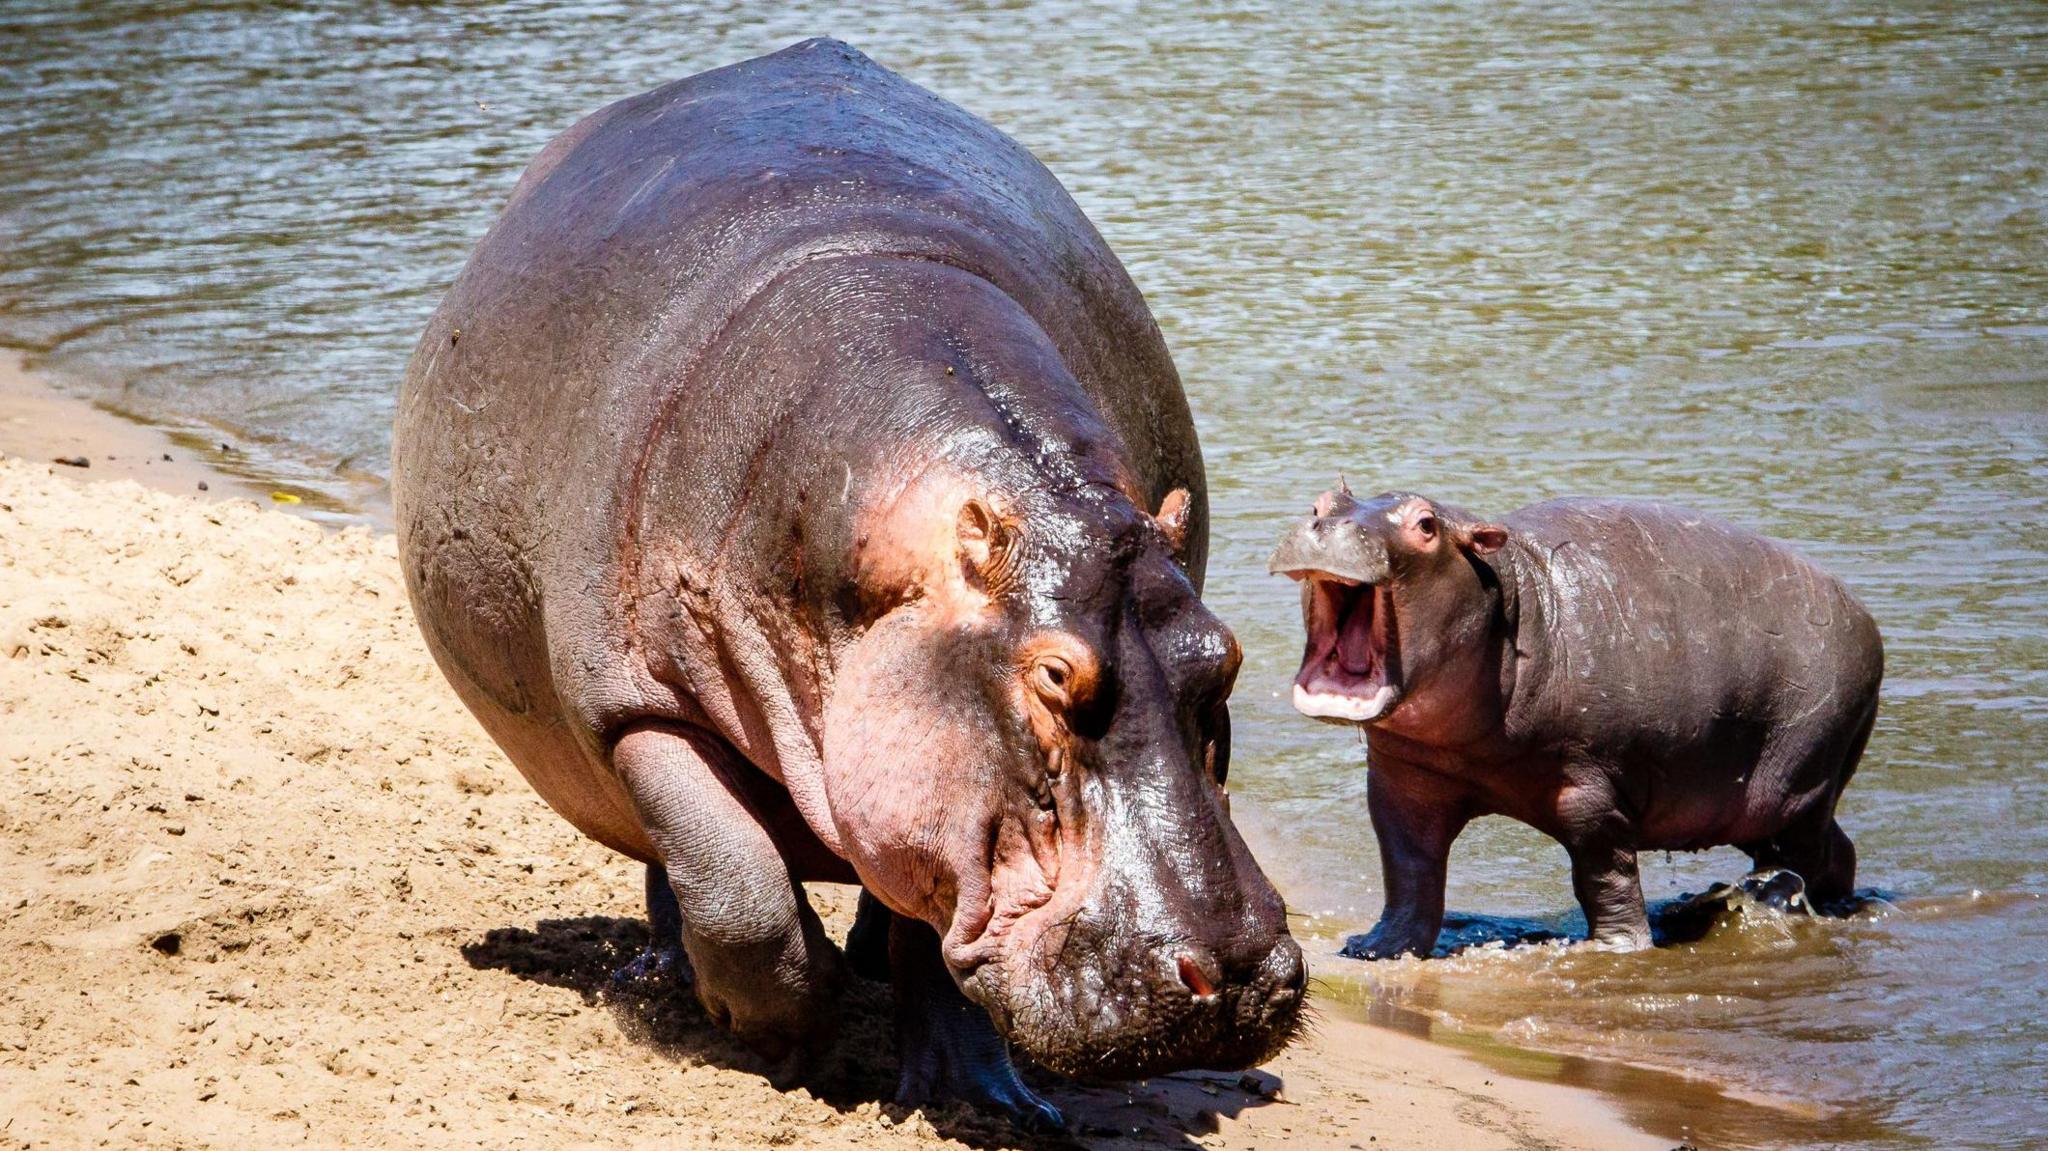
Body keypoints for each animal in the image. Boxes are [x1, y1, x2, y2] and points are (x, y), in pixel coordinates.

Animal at [391, 38, 1302, 1130]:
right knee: (680, 868)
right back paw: (667, 976)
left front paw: (978, 1095)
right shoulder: (630, 703)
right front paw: (781, 1038)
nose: (1243, 973)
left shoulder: (936, 801)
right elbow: (737, 885)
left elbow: (930, 935)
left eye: (1226, 656)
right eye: (1052, 674)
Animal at [1269, 483, 1875, 950]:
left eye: (1425, 524)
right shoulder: (1403, 782)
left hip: (1798, 786)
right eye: (1321, 502)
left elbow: (1604, 875)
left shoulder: (1590, 791)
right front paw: (1377, 947)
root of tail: (1866, 618)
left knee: (1799, 859)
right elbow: (1409, 869)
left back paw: (1772, 905)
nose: (1329, 525)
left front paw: (1616, 949)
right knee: (1835, 850)